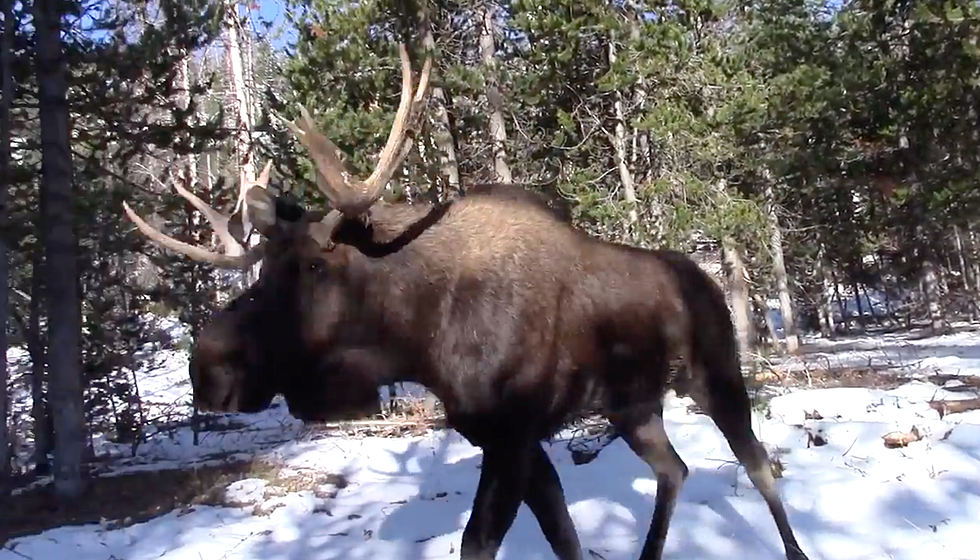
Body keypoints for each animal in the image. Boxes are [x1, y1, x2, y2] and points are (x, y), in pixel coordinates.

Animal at [122, 40, 812, 560]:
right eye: (264, 267)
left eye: (315, 265)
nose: (207, 366)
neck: (419, 339)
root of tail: (707, 280)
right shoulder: (502, 437)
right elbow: (562, 537)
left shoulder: (511, 435)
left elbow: (480, 544)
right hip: (633, 405)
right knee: (676, 469)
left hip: (715, 374)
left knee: (758, 465)